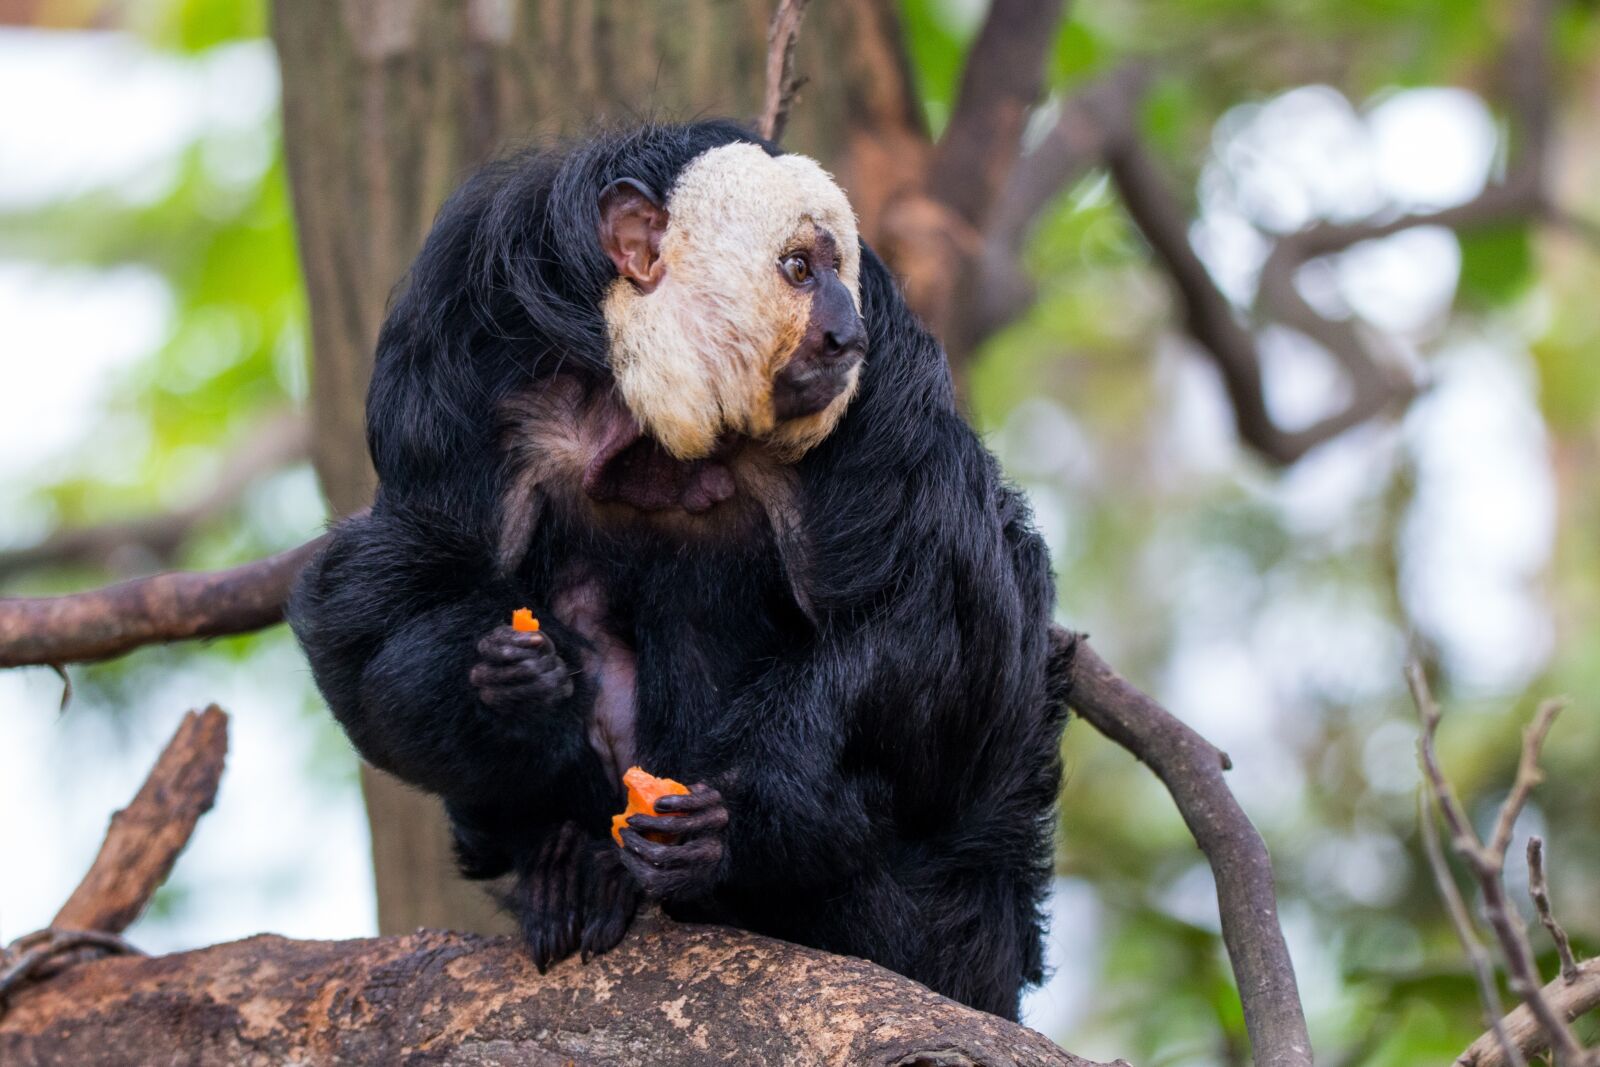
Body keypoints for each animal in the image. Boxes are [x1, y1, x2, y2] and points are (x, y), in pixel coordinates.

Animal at [288, 120, 1064, 1021]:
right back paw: (570, 862)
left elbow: (935, 632)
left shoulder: (891, 400)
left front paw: (726, 832)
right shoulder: (454, 366)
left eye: (840, 273)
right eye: (800, 269)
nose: (847, 334)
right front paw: (504, 684)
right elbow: (381, 603)